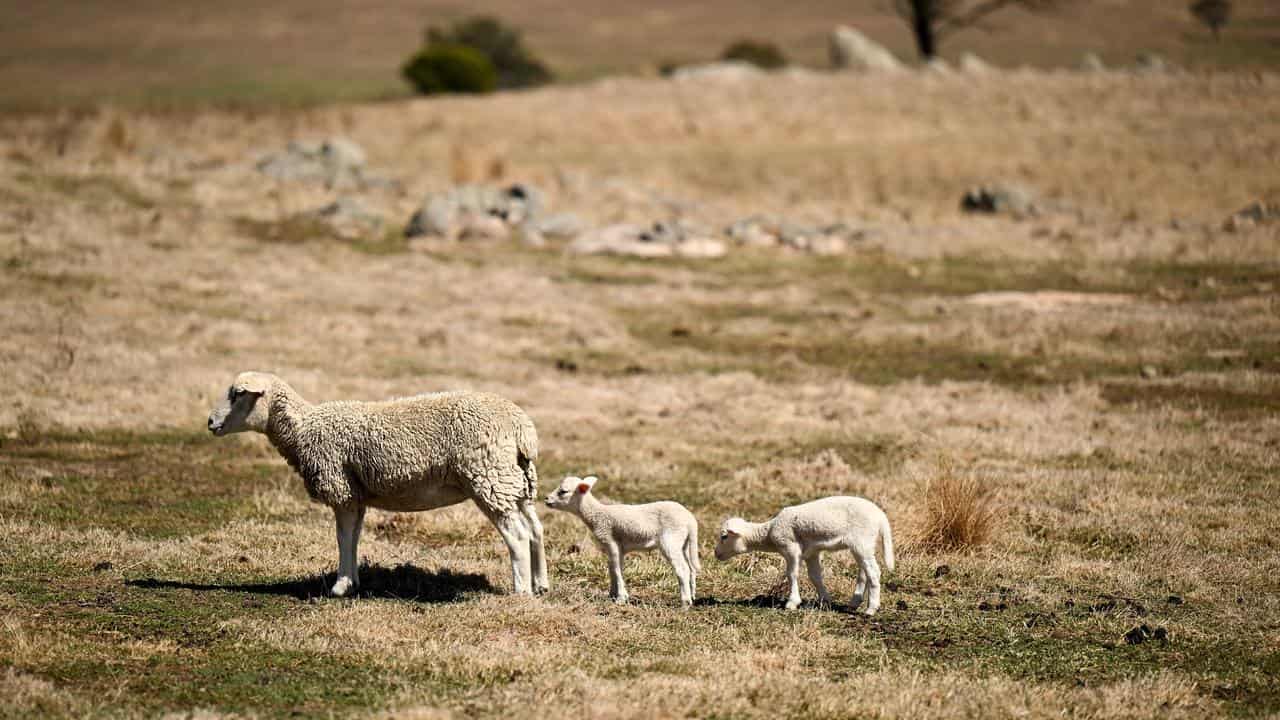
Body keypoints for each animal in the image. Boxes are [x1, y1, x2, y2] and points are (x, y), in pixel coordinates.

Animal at [207, 368, 547, 594]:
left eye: (237, 394)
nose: (210, 422)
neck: (302, 429)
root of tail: (523, 430)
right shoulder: (356, 495)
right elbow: (353, 537)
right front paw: (353, 581)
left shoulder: (341, 488)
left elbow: (343, 537)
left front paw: (340, 587)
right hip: (515, 482)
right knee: (534, 530)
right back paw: (540, 584)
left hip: (489, 478)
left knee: (517, 535)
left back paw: (521, 591)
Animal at [542, 474, 701, 602]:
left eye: (563, 491)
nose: (546, 499)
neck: (597, 515)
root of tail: (690, 520)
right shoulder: (617, 547)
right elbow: (613, 568)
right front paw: (612, 594)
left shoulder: (611, 541)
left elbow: (616, 569)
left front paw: (621, 598)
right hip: (684, 542)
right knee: (691, 568)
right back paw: (692, 595)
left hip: (670, 540)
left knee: (682, 569)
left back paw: (685, 602)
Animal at [716, 497, 896, 614]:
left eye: (724, 536)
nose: (716, 553)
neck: (769, 533)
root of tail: (881, 516)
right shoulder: (811, 552)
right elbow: (815, 576)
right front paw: (825, 600)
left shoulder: (791, 548)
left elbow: (792, 574)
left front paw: (792, 602)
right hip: (863, 544)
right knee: (864, 572)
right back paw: (854, 603)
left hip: (862, 541)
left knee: (874, 572)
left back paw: (871, 608)